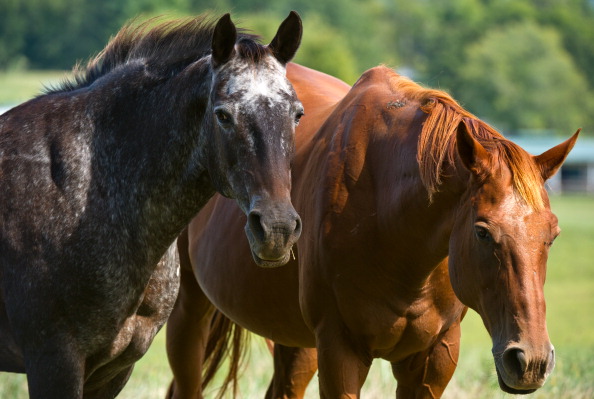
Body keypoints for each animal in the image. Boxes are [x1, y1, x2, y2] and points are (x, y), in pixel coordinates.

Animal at [166, 64, 580, 398]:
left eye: (553, 235)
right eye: (482, 232)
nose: (530, 362)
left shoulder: (434, 359)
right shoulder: (341, 353)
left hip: (298, 344)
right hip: (189, 310)